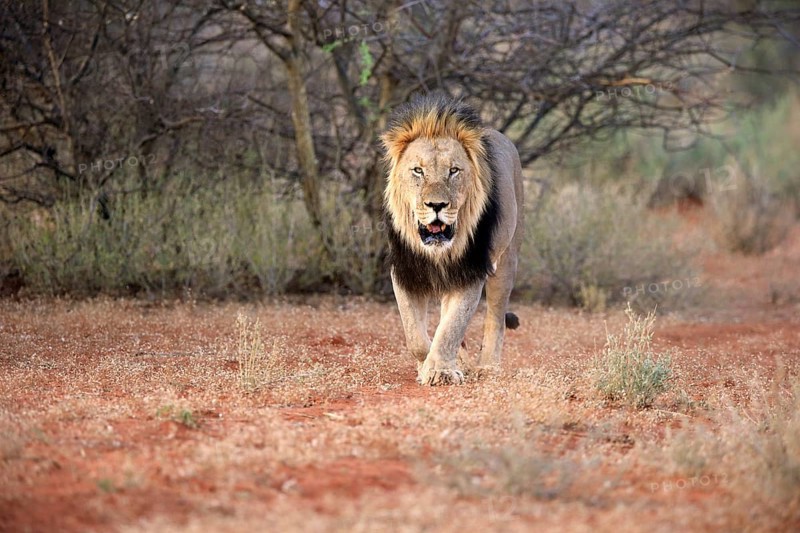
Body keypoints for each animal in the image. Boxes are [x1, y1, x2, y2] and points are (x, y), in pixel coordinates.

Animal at [380, 94, 524, 385]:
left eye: (454, 171)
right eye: (418, 171)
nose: (436, 205)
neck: (439, 251)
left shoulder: (472, 270)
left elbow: (452, 327)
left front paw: (441, 371)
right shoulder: (404, 270)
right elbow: (415, 336)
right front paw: (437, 363)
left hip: (506, 261)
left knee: (495, 317)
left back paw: (487, 366)